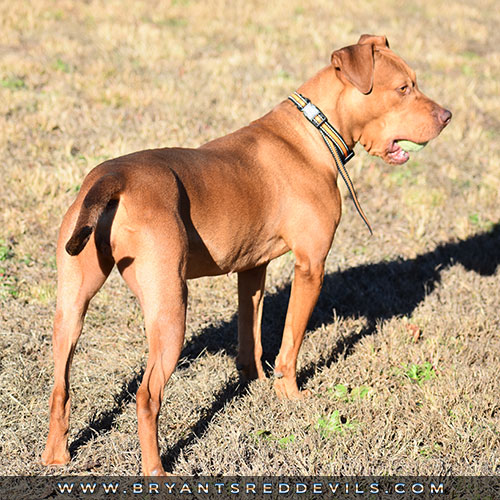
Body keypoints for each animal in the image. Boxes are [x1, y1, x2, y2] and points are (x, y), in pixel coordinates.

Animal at [41, 34, 452, 472]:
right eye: (403, 88)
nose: (447, 116)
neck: (314, 131)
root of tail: (113, 177)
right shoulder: (311, 267)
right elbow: (291, 342)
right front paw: (289, 393)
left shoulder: (252, 269)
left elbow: (250, 336)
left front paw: (253, 381)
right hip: (170, 311)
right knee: (147, 396)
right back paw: (156, 470)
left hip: (72, 307)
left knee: (60, 386)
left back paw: (56, 456)